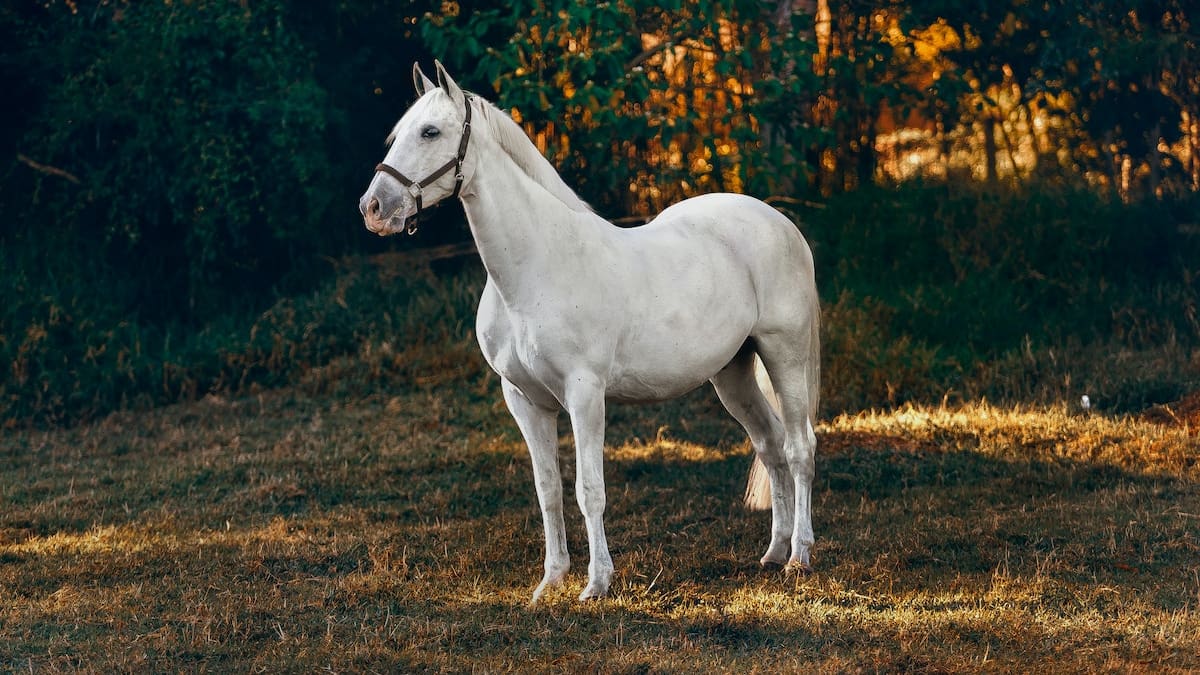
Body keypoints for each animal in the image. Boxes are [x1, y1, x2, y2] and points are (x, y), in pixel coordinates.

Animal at [359, 61, 820, 604]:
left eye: (430, 132)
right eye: (397, 134)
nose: (373, 207)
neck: (537, 266)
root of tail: (780, 223)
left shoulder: (585, 393)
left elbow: (589, 490)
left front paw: (596, 583)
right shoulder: (524, 400)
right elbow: (548, 491)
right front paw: (551, 581)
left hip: (783, 354)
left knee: (799, 447)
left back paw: (799, 556)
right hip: (732, 373)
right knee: (770, 445)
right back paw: (773, 552)